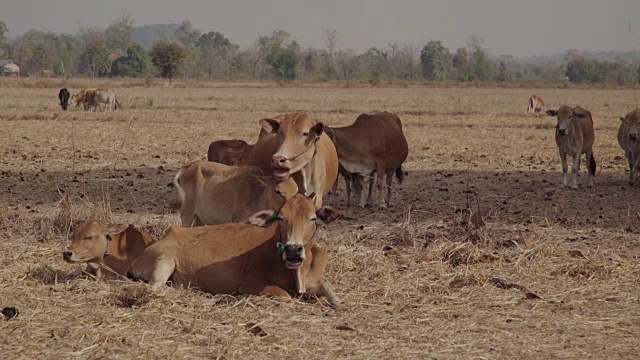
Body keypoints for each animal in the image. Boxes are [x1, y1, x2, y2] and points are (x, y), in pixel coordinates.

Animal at [127, 194, 342, 306]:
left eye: (312, 218)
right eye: (281, 218)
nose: (293, 250)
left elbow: (328, 288)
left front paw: (333, 300)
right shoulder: (252, 283)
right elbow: (286, 296)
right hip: (164, 261)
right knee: (157, 287)